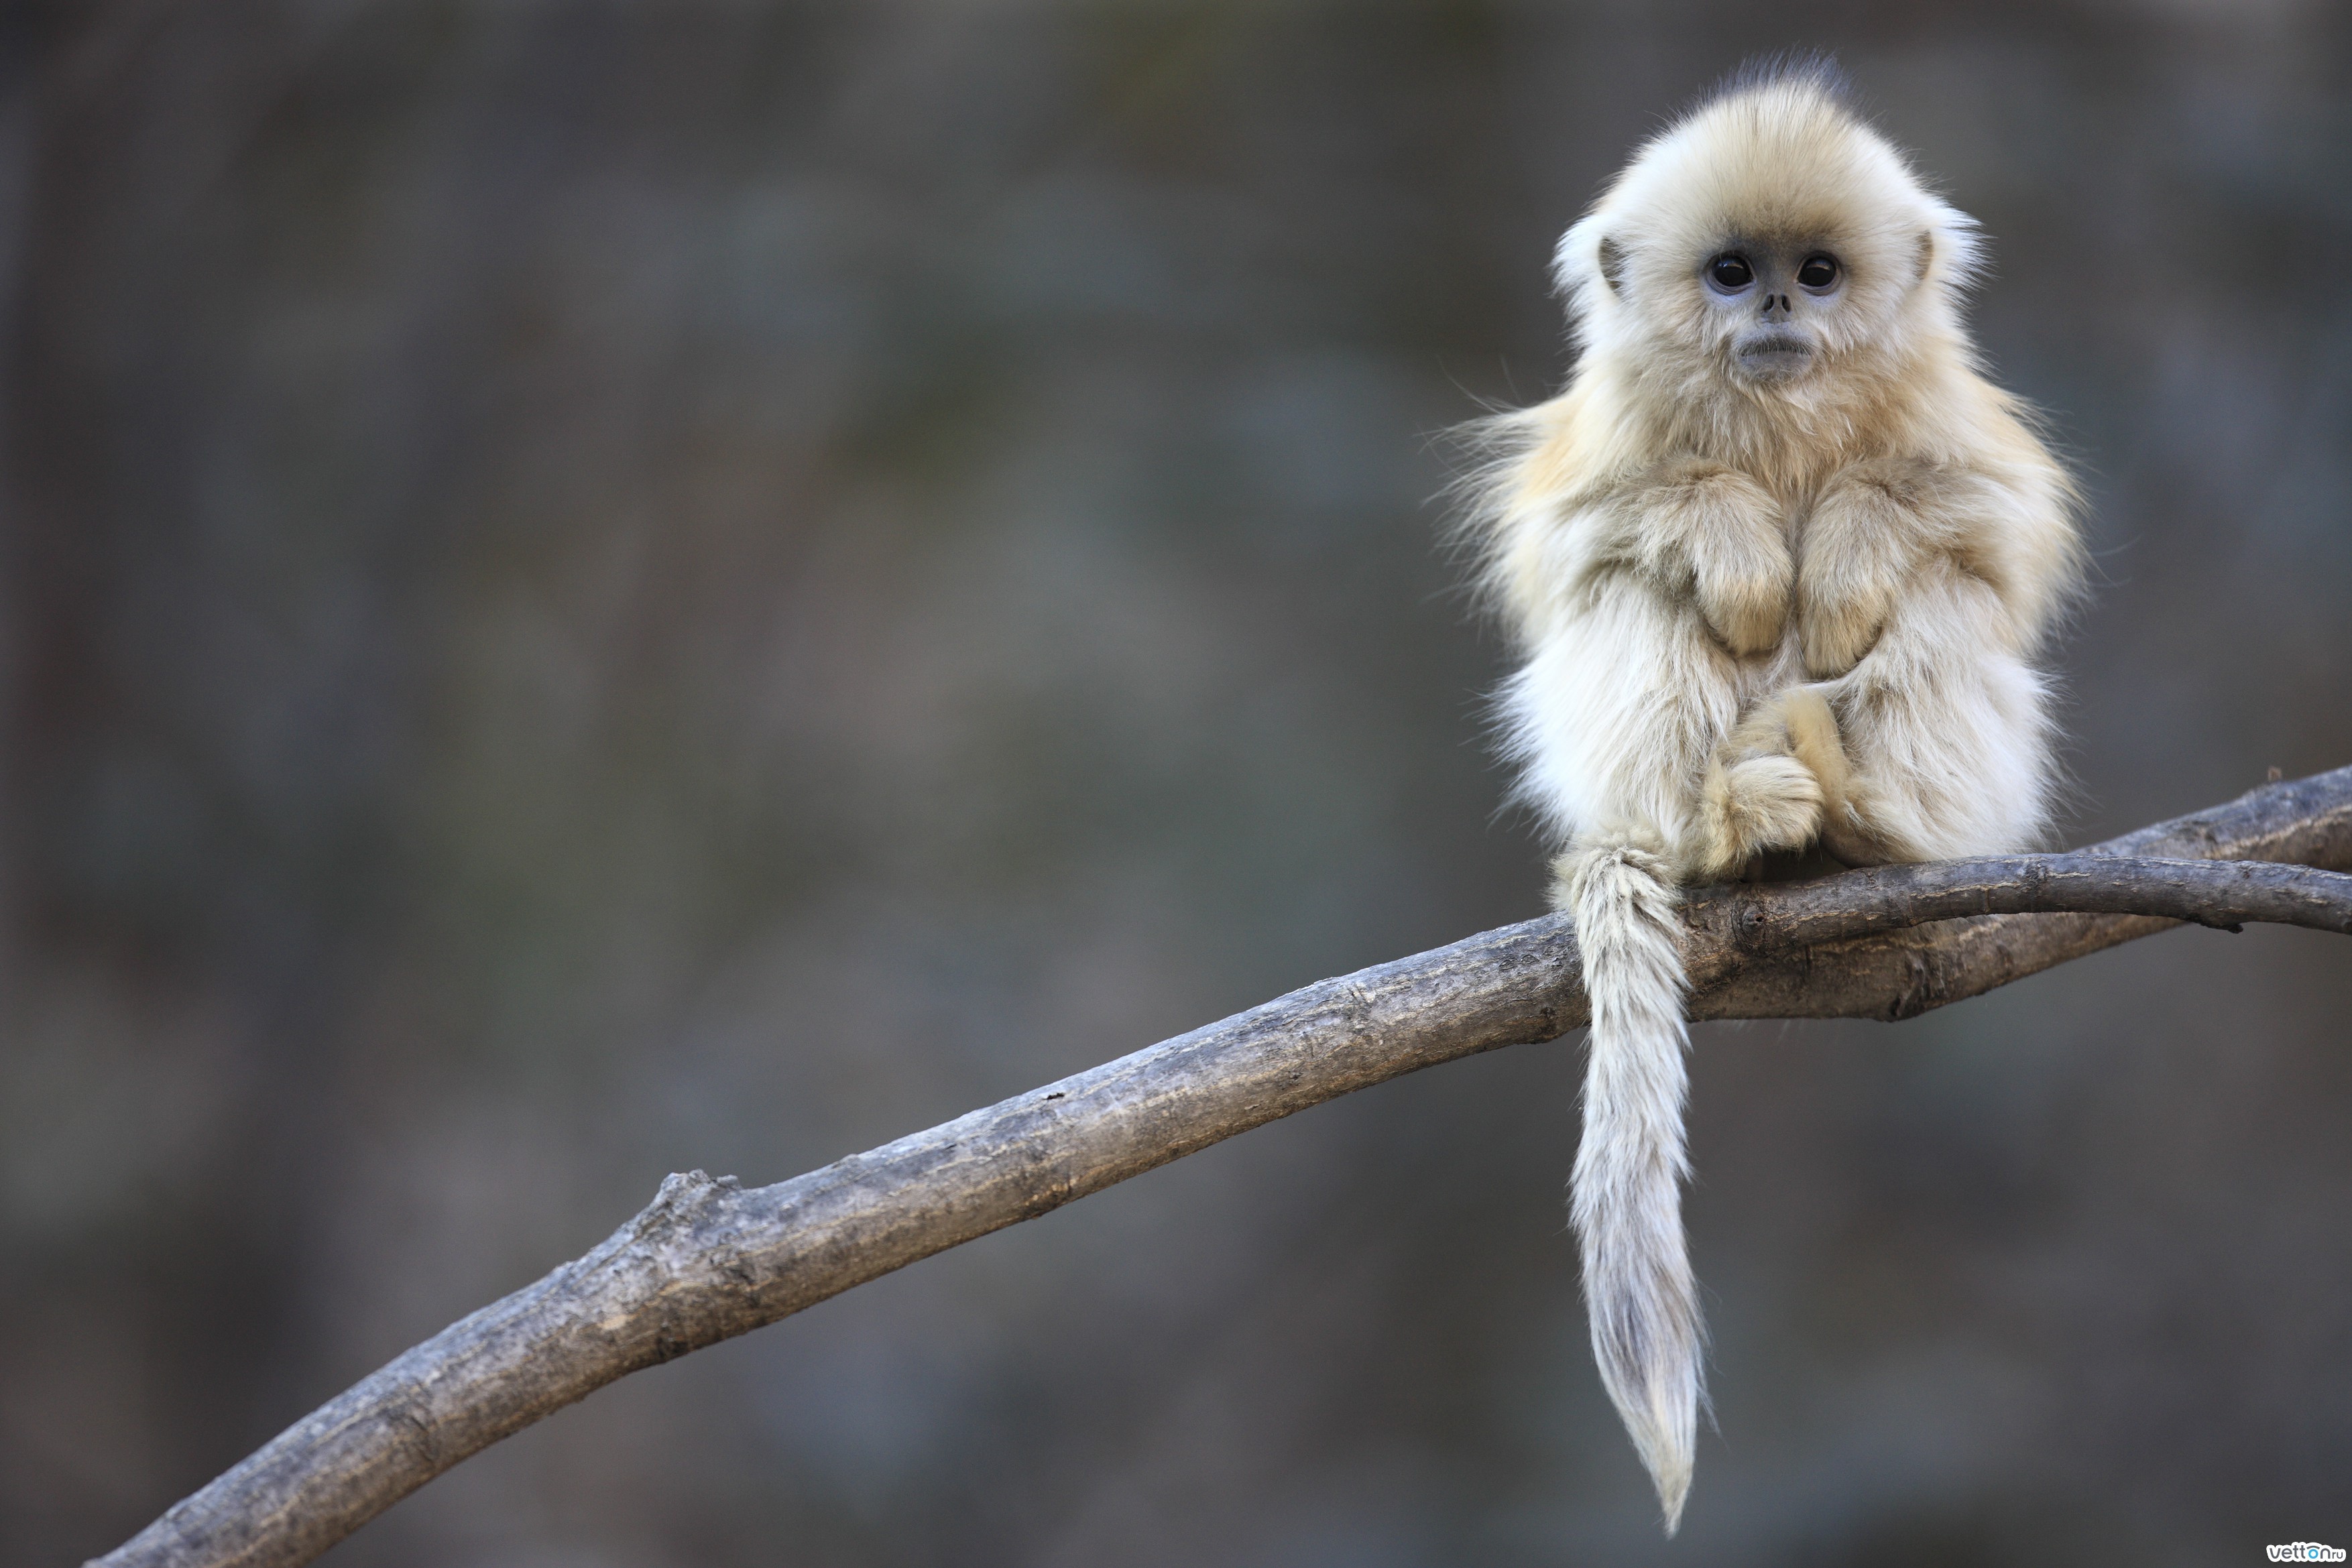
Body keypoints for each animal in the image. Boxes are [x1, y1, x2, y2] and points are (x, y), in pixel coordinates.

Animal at [1458, 58, 2089, 1532]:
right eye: (1731, 272)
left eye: (1818, 271)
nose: (1780, 314)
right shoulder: (1602, 443)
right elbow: (1581, 541)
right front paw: (1741, 545)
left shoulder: (1955, 426)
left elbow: (1992, 530)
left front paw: (1844, 548)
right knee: (1632, 594)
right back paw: (1719, 826)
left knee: (1944, 595)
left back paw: (1861, 815)